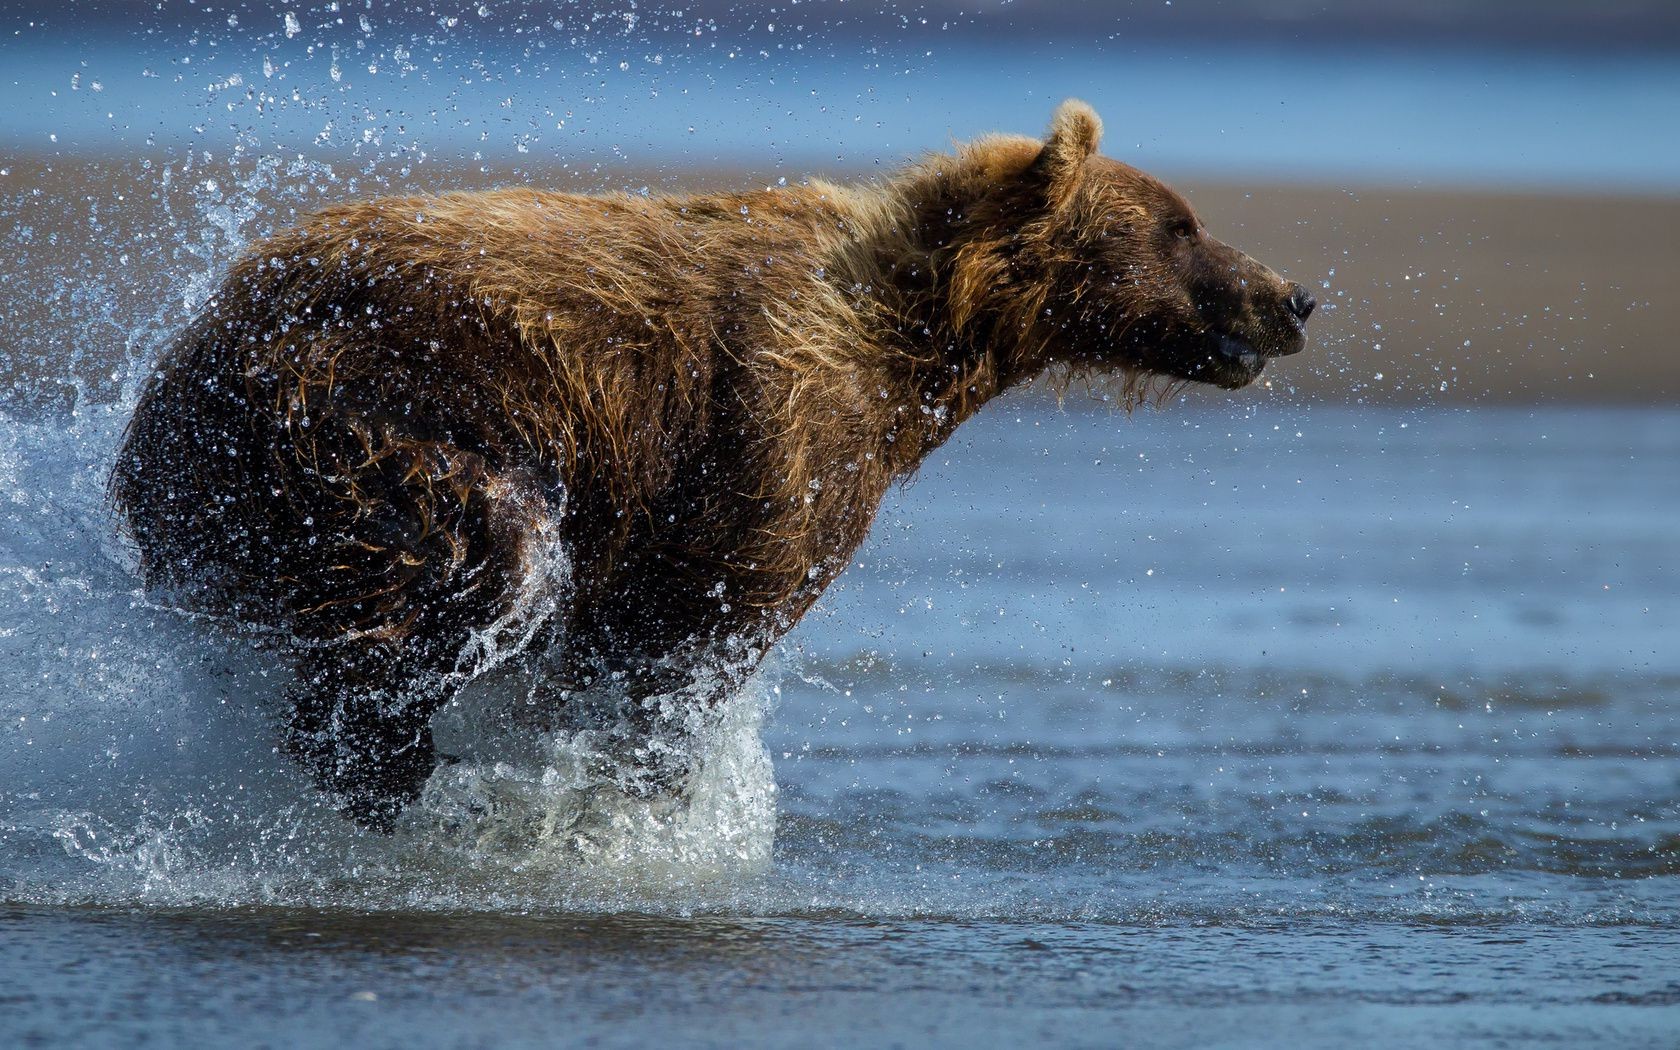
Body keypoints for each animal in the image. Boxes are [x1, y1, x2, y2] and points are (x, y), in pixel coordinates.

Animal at [111, 102, 1310, 829]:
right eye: (1179, 223)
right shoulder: (774, 436)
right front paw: (631, 800)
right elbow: (682, 639)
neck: (920, 341)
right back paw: (398, 765)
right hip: (351, 419)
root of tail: (187, 350)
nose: (1292, 295)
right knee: (474, 561)